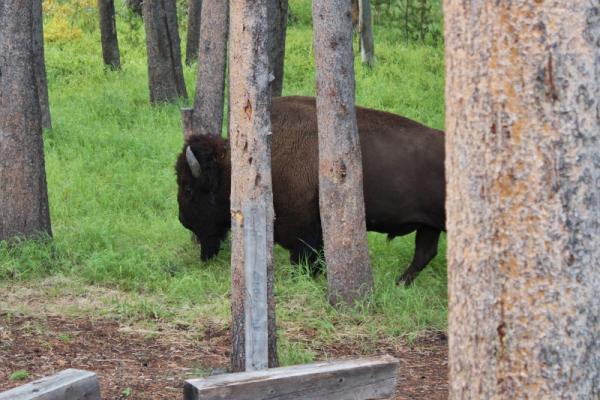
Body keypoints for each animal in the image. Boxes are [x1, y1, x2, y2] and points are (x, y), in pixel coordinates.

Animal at [175, 96, 446, 284]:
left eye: (188, 187)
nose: (183, 220)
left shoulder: (303, 230)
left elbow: (304, 256)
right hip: (429, 226)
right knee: (424, 253)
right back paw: (400, 283)